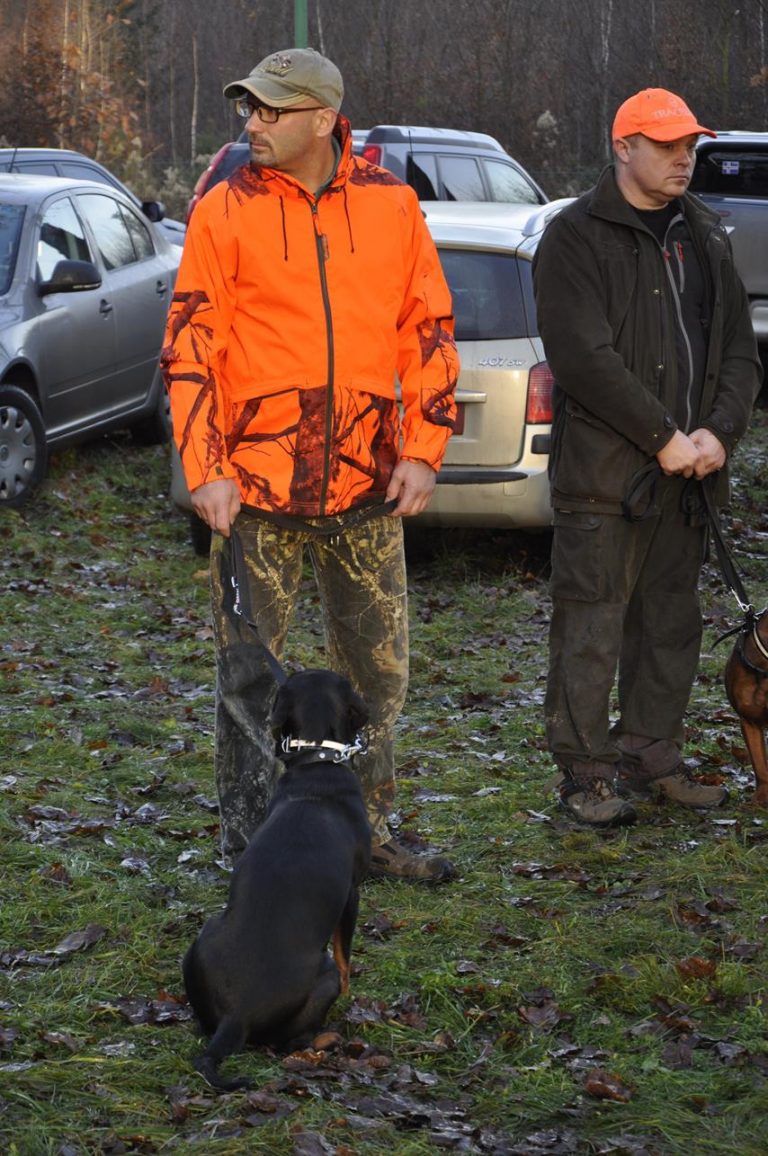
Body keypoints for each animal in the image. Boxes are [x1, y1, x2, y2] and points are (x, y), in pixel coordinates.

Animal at [180, 670, 372, 1091]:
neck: (318, 764)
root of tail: (237, 1016)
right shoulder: (352, 893)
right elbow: (345, 956)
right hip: (321, 979)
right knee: (290, 1039)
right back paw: (325, 1038)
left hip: (203, 937)